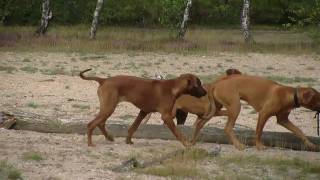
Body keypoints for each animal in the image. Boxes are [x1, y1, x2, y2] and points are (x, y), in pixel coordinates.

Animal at [192, 74, 320, 150]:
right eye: (318, 99)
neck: (292, 95)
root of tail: (217, 82)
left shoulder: (283, 120)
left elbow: (299, 131)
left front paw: (310, 144)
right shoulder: (264, 114)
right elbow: (259, 131)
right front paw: (259, 146)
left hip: (217, 107)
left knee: (201, 122)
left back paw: (193, 141)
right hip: (235, 106)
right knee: (227, 128)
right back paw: (238, 145)